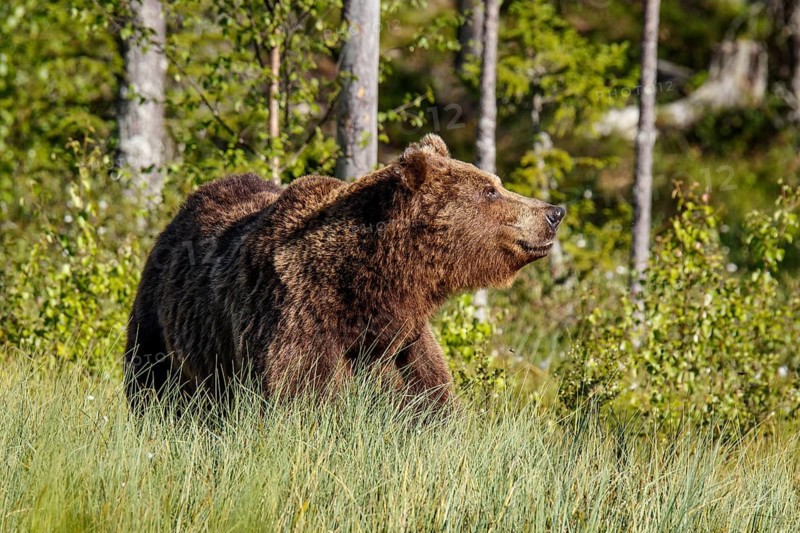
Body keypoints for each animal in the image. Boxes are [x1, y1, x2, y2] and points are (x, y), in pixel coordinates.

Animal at [124, 134, 565, 410]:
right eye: (490, 190)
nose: (554, 212)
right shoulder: (301, 318)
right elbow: (304, 396)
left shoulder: (403, 341)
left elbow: (428, 398)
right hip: (160, 325)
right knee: (152, 385)